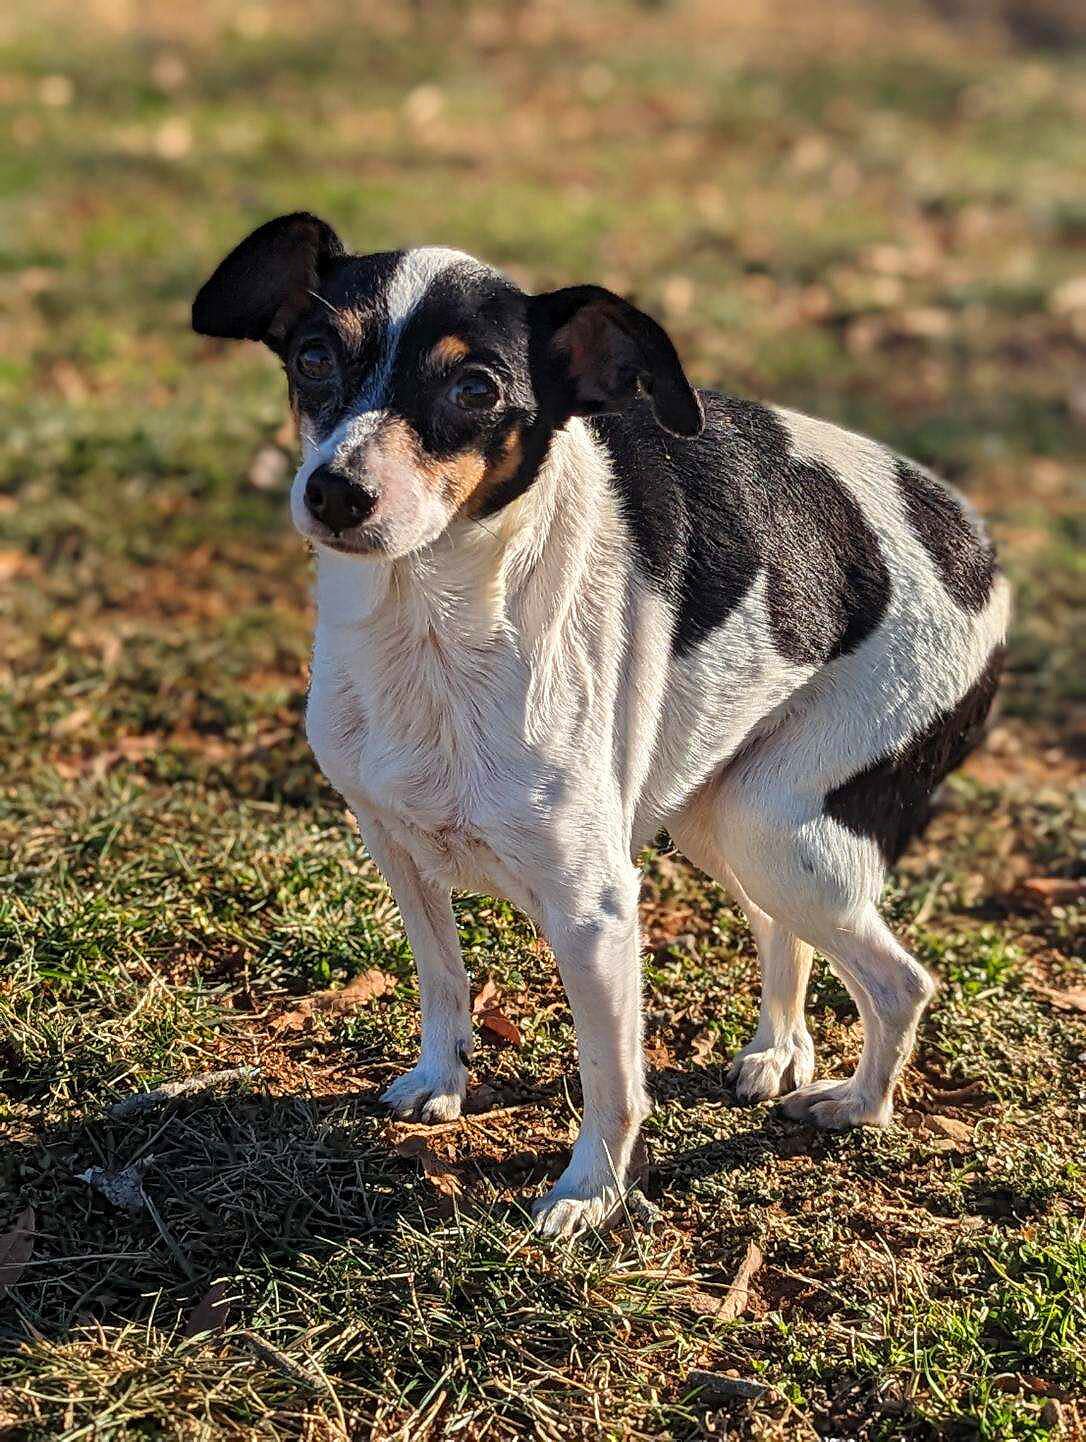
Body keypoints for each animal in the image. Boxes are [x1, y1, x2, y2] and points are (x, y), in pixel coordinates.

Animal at [193, 213, 1009, 1240]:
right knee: (784, 931)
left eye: (475, 387)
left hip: (781, 827)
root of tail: (969, 534)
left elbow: (611, 1079)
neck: (429, 627)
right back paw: (778, 1047)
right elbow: (443, 981)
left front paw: (591, 1194)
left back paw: (859, 1106)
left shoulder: (595, 911)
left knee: (901, 981)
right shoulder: (397, 851)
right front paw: (441, 1080)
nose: (336, 492)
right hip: (725, 816)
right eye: (311, 356)